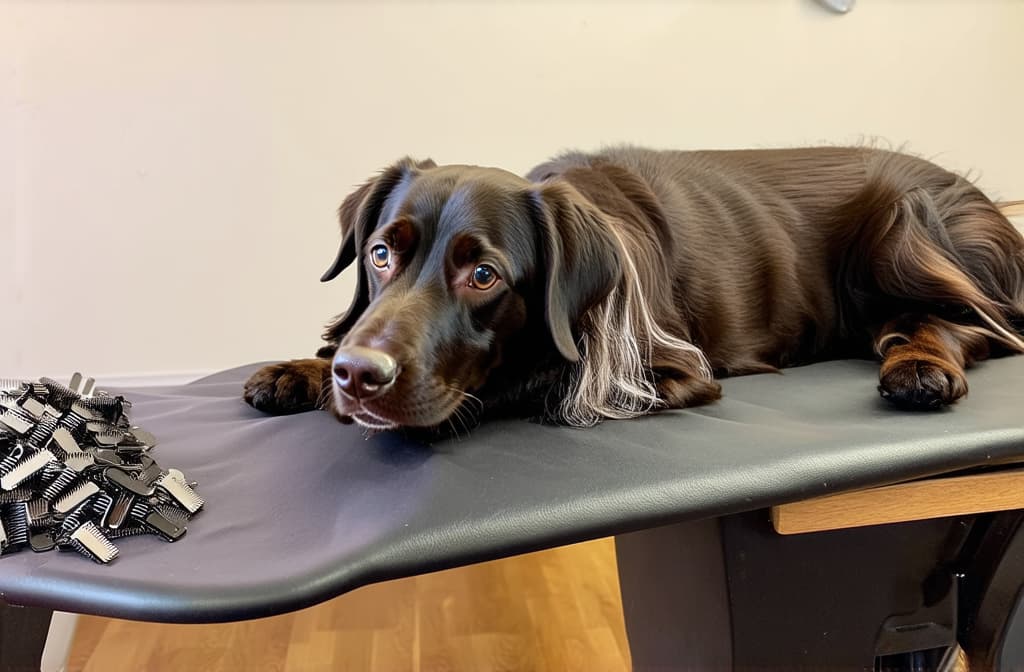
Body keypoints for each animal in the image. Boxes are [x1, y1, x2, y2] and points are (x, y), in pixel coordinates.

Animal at [241, 145, 1024, 432]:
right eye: (379, 254)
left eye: (483, 275)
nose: (359, 376)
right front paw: (305, 367)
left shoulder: (667, 373)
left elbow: (542, 387)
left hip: (905, 225)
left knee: (977, 325)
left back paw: (918, 363)